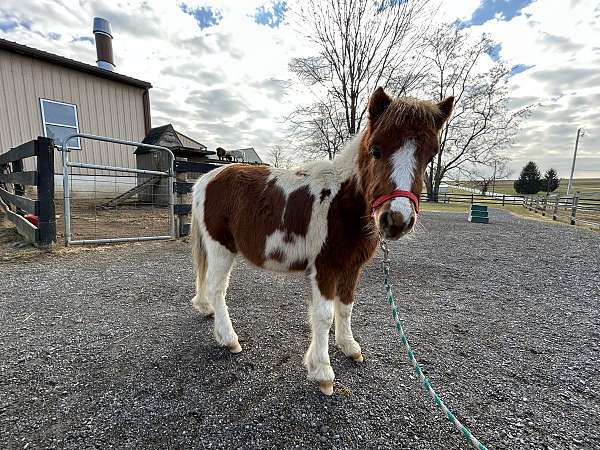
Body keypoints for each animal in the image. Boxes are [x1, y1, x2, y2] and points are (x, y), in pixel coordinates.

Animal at [190, 87, 452, 394]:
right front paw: (322, 371)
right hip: (221, 248)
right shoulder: (324, 269)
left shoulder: (352, 268)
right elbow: (324, 315)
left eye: (430, 156)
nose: (397, 219)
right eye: (376, 150)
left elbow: (346, 307)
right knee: (217, 289)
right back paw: (229, 339)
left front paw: (349, 347)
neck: (340, 204)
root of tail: (207, 178)